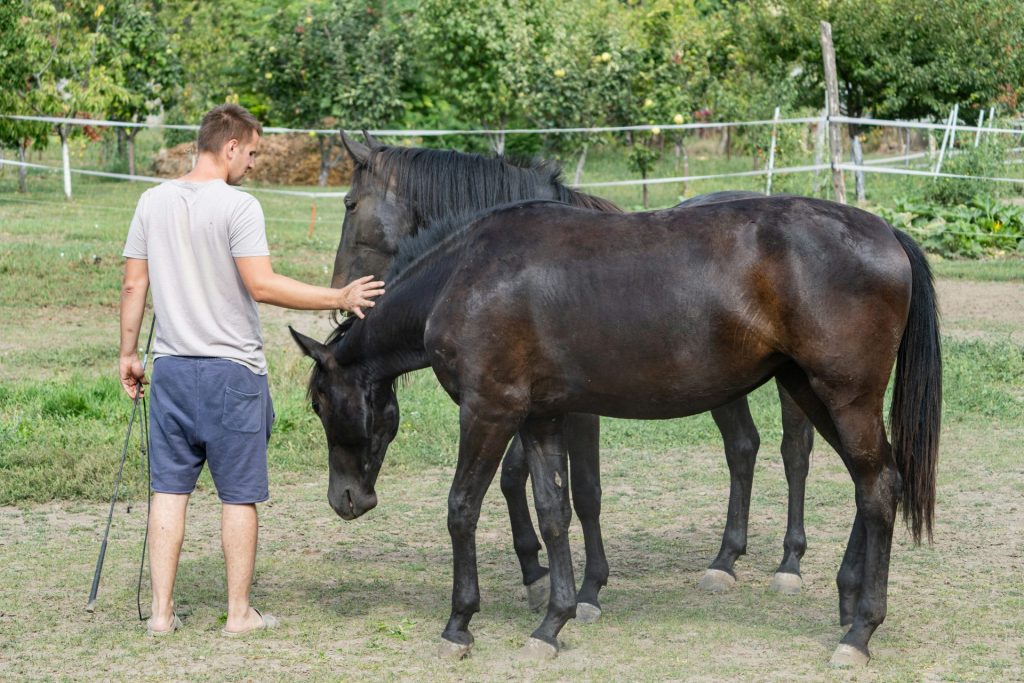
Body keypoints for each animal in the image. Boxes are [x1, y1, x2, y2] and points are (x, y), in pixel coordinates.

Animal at [295, 196, 941, 666]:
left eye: (320, 403)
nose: (345, 500)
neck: (468, 275)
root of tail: (885, 232)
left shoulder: (490, 412)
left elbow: (462, 508)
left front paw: (459, 623)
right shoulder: (542, 418)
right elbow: (554, 510)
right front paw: (553, 621)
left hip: (843, 396)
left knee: (877, 486)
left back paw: (859, 632)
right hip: (812, 390)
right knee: (874, 482)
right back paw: (848, 599)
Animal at [330, 132, 816, 607]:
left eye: (350, 203)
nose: (341, 296)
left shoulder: (574, 407)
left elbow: (580, 490)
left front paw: (583, 588)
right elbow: (518, 479)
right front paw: (537, 570)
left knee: (794, 451)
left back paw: (789, 564)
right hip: (723, 388)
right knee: (742, 448)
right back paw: (725, 559)